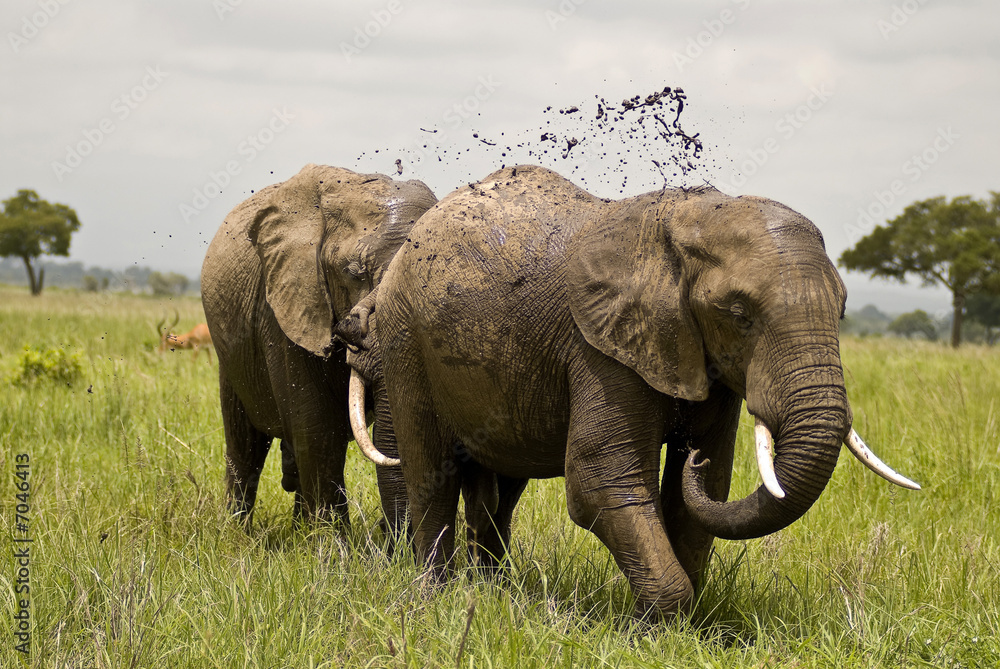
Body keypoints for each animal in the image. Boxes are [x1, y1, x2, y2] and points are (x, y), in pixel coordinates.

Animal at [200, 163, 436, 530]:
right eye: (354, 273)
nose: (395, 541)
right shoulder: (286, 304)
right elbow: (317, 429)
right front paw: (333, 545)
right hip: (233, 354)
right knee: (245, 444)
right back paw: (238, 533)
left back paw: (300, 531)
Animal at [351, 164, 919, 617]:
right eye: (739, 315)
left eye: (842, 312)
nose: (690, 459)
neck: (687, 224)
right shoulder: (600, 348)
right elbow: (600, 478)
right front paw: (658, 628)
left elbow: (701, 493)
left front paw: (683, 626)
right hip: (404, 337)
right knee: (431, 468)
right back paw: (436, 598)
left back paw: (493, 591)